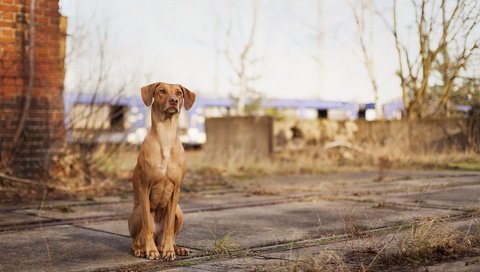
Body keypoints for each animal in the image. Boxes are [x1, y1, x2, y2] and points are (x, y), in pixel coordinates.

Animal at [128, 82, 196, 260]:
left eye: (179, 93)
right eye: (162, 91)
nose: (173, 101)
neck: (165, 136)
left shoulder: (176, 190)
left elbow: (170, 228)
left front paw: (169, 251)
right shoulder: (144, 188)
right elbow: (147, 227)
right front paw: (150, 251)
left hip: (179, 210)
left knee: (167, 235)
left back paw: (175, 248)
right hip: (138, 211)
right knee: (137, 238)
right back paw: (142, 249)